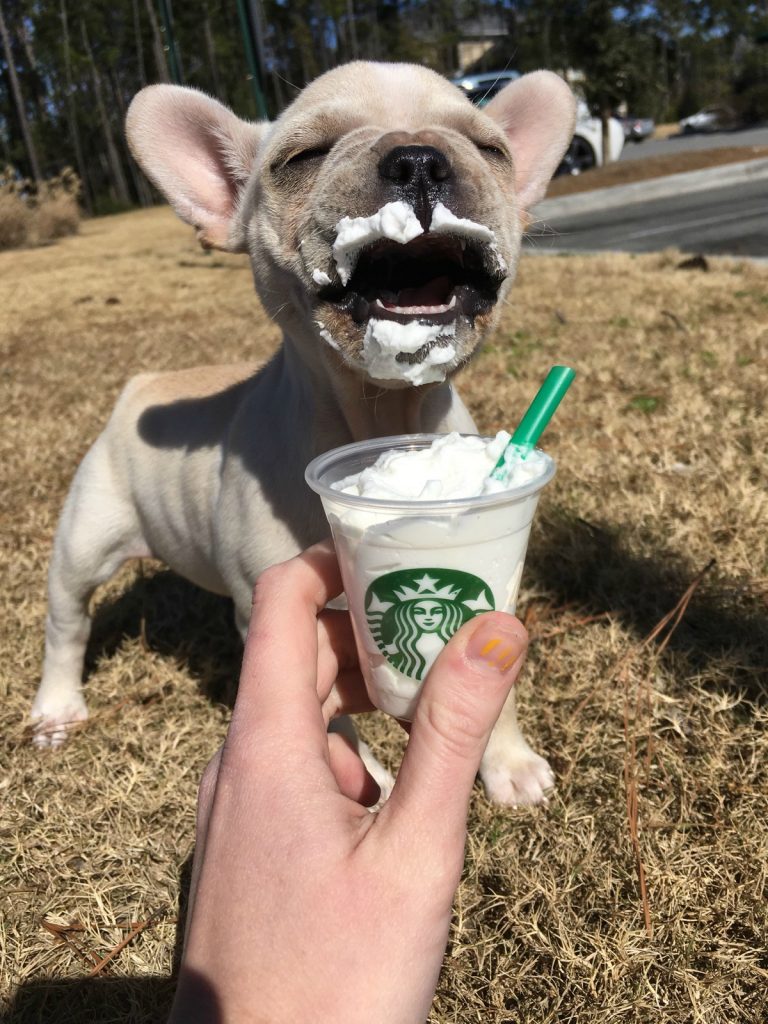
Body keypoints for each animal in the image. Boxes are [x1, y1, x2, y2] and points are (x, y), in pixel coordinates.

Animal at [33, 61, 573, 806]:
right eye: (303, 157)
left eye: (490, 149)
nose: (418, 158)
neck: (382, 412)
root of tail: (143, 382)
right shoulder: (271, 614)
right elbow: (332, 715)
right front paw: (368, 778)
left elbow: (499, 673)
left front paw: (508, 761)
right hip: (84, 540)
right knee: (67, 622)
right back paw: (55, 709)